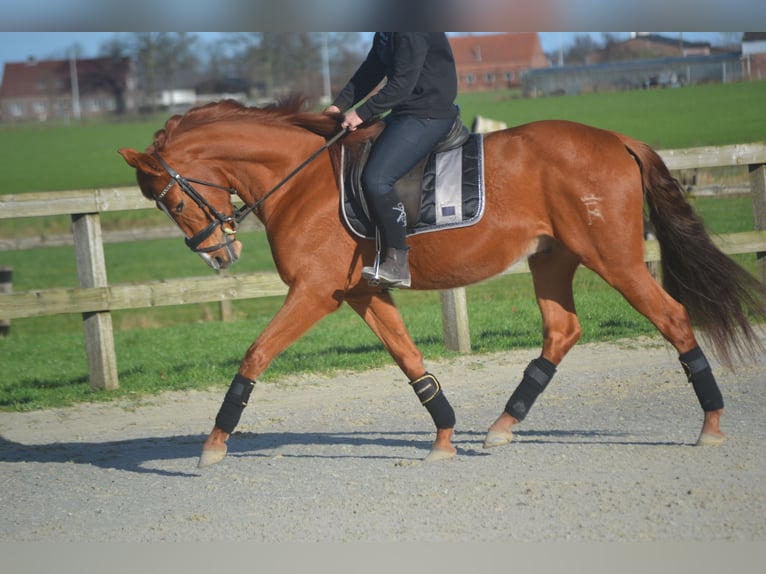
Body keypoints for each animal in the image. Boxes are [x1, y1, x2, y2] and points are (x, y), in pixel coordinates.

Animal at [120, 97, 766, 470]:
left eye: (170, 199)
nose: (217, 256)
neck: (300, 179)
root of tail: (615, 138)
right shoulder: (362, 293)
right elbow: (410, 362)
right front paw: (445, 434)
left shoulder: (315, 292)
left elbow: (254, 354)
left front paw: (213, 444)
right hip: (551, 260)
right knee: (562, 331)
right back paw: (501, 427)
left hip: (615, 260)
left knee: (672, 317)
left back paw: (711, 425)